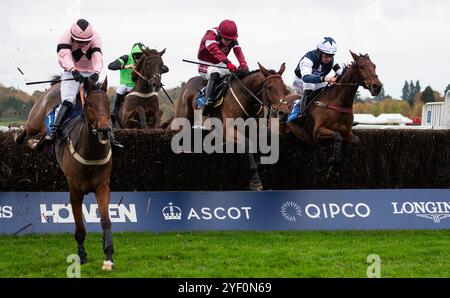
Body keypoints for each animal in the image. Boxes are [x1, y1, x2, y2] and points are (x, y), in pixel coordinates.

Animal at [169, 62, 288, 191]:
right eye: (269, 88)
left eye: (284, 88)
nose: (283, 112)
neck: (246, 98)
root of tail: (187, 84)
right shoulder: (229, 131)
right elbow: (247, 144)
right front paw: (256, 181)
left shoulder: (256, 129)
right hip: (182, 119)